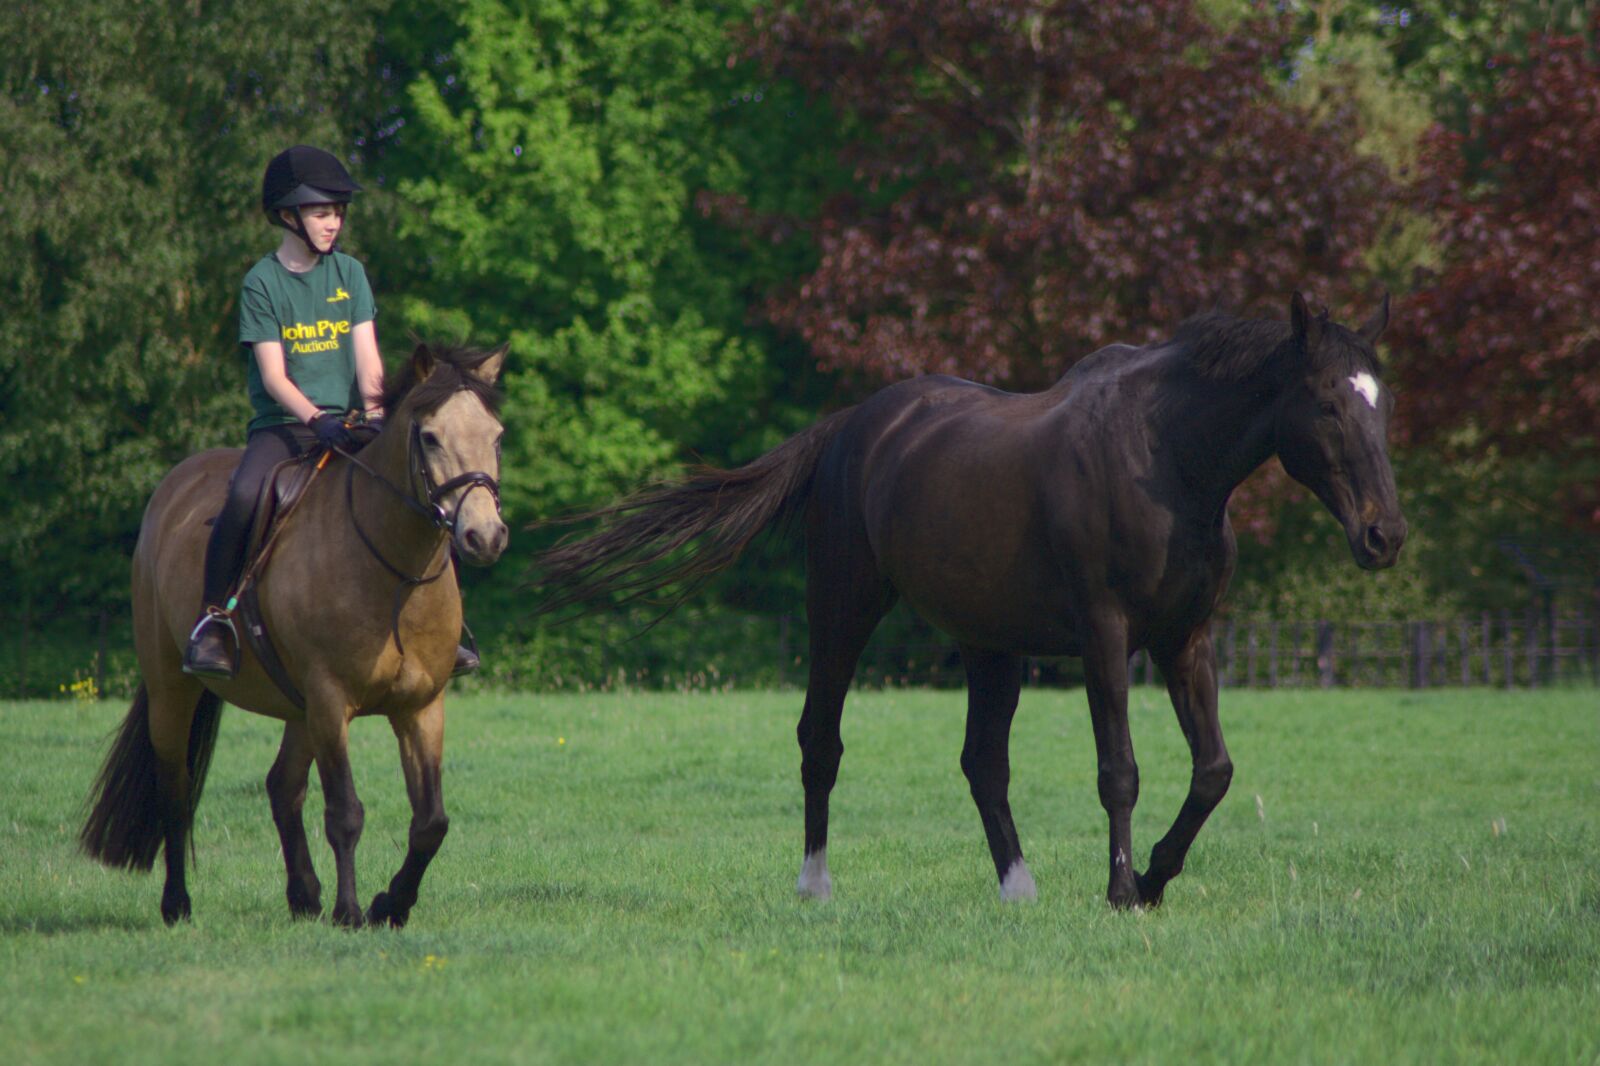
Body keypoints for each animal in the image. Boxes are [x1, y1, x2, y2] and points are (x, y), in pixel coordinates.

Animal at [82, 340, 505, 921]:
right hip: (175, 688)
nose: (485, 536)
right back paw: (177, 904)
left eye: (496, 436)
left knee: (281, 786)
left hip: (298, 708)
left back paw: (303, 896)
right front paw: (351, 912)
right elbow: (345, 812)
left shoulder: (421, 707)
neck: (392, 570)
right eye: (430, 437)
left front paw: (389, 905)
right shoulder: (330, 700)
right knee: (175, 787)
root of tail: (171, 488)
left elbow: (430, 823)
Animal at [534, 292, 1401, 902]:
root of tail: (850, 427)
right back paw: (815, 884)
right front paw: (1123, 889)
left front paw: (1154, 878)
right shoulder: (1105, 635)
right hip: (842, 611)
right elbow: (1118, 770)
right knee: (821, 739)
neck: (1163, 460)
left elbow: (1213, 770)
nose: (1383, 534)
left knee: (983, 761)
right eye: (1327, 403)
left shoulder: (1184, 637)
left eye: (1380, 403)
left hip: (989, 644)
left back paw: (1018, 888)